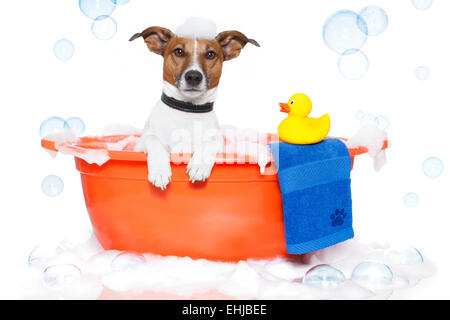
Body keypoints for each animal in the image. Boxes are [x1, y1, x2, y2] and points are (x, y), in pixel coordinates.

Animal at [129, 20, 260, 189]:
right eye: (179, 51)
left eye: (210, 54)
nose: (193, 76)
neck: (188, 109)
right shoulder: (141, 143)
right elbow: (153, 140)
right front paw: (159, 170)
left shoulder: (219, 143)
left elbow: (211, 142)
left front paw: (199, 165)